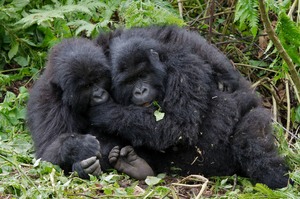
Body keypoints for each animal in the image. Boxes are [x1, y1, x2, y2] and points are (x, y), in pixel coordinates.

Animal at [27, 37, 154, 180]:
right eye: (86, 86)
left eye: (97, 79)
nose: (99, 95)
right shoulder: (45, 102)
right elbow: (46, 157)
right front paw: (79, 147)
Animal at [90, 26, 290, 188]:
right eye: (130, 81)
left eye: (142, 75)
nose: (140, 91)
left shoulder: (183, 68)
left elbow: (178, 127)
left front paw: (104, 112)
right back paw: (134, 164)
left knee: (251, 140)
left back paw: (277, 178)